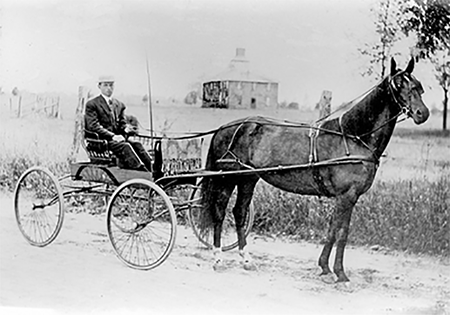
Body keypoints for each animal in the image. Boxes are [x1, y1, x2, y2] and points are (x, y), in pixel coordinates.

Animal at [200, 58, 428, 282]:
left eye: (418, 86)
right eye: (398, 85)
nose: (422, 113)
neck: (353, 137)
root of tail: (224, 128)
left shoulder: (345, 197)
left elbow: (332, 229)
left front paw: (325, 267)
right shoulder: (347, 196)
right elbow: (342, 232)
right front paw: (340, 272)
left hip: (247, 178)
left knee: (240, 212)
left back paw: (246, 260)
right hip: (227, 178)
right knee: (219, 211)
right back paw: (217, 258)